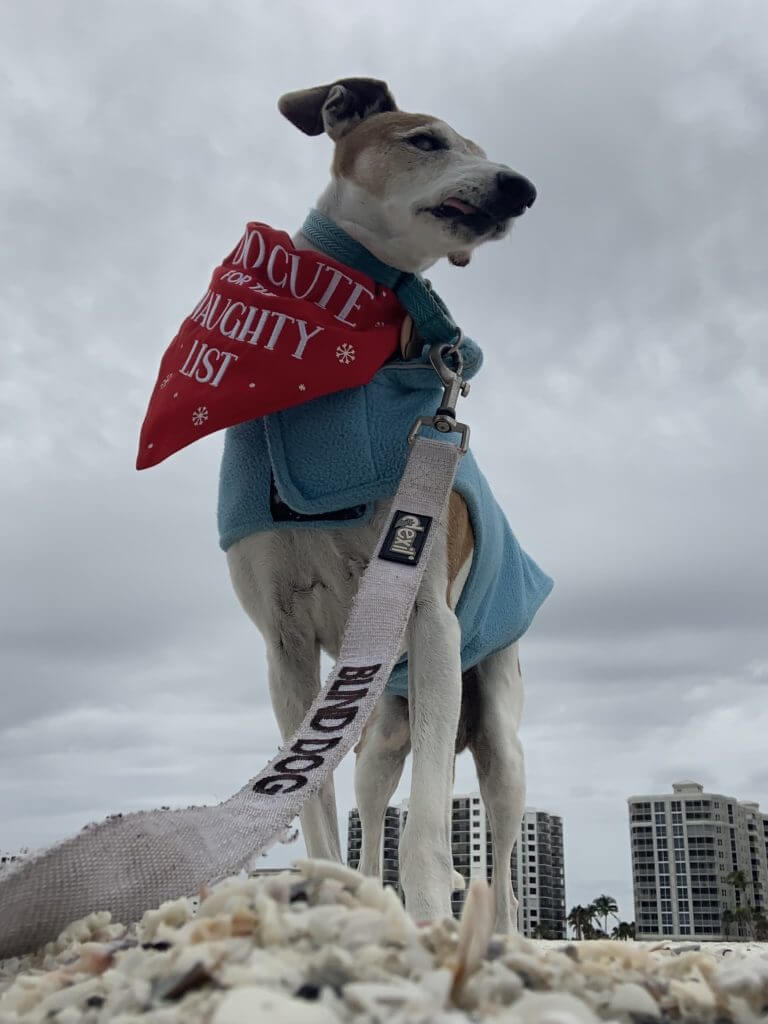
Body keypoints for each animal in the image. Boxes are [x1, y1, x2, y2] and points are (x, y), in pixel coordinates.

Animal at [225, 75, 544, 933]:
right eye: (427, 141)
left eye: (480, 148)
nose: (520, 186)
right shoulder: (284, 648)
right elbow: (312, 808)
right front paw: (330, 896)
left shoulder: (429, 622)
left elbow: (432, 822)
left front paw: (430, 922)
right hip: (381, 732)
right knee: (371, 811)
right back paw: (369, 894)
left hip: (496, 727)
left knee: (502, 851)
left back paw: (502, 933)